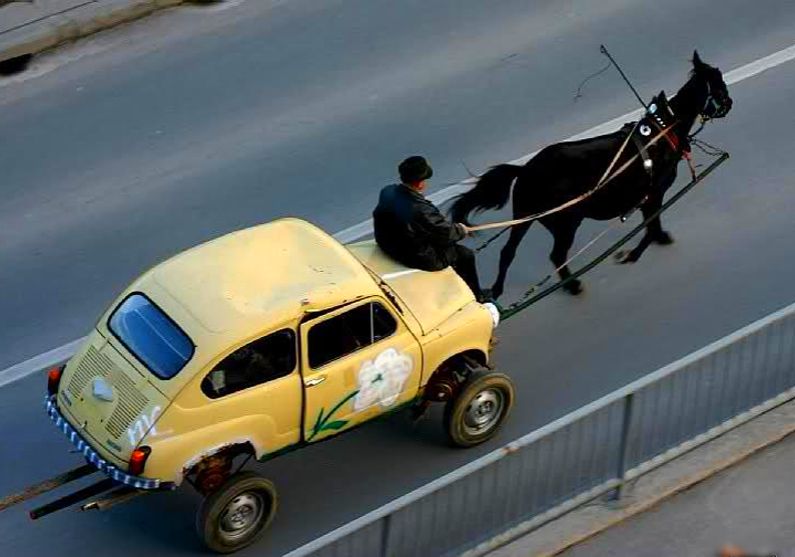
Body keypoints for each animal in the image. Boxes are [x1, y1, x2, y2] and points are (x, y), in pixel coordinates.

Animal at [454, 51, 732, 300]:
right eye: (719, 83)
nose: (729, 103)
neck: (663, 131)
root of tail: (526, 169)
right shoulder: (654, 194)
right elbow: (651, 226)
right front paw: (632, 254)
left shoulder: (648, 197)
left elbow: (653, 226)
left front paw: (658, 239)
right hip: (566, 223)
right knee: (555, 256)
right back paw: (571, 285)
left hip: (524, 217)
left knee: (508, 253)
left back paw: (497, 290)